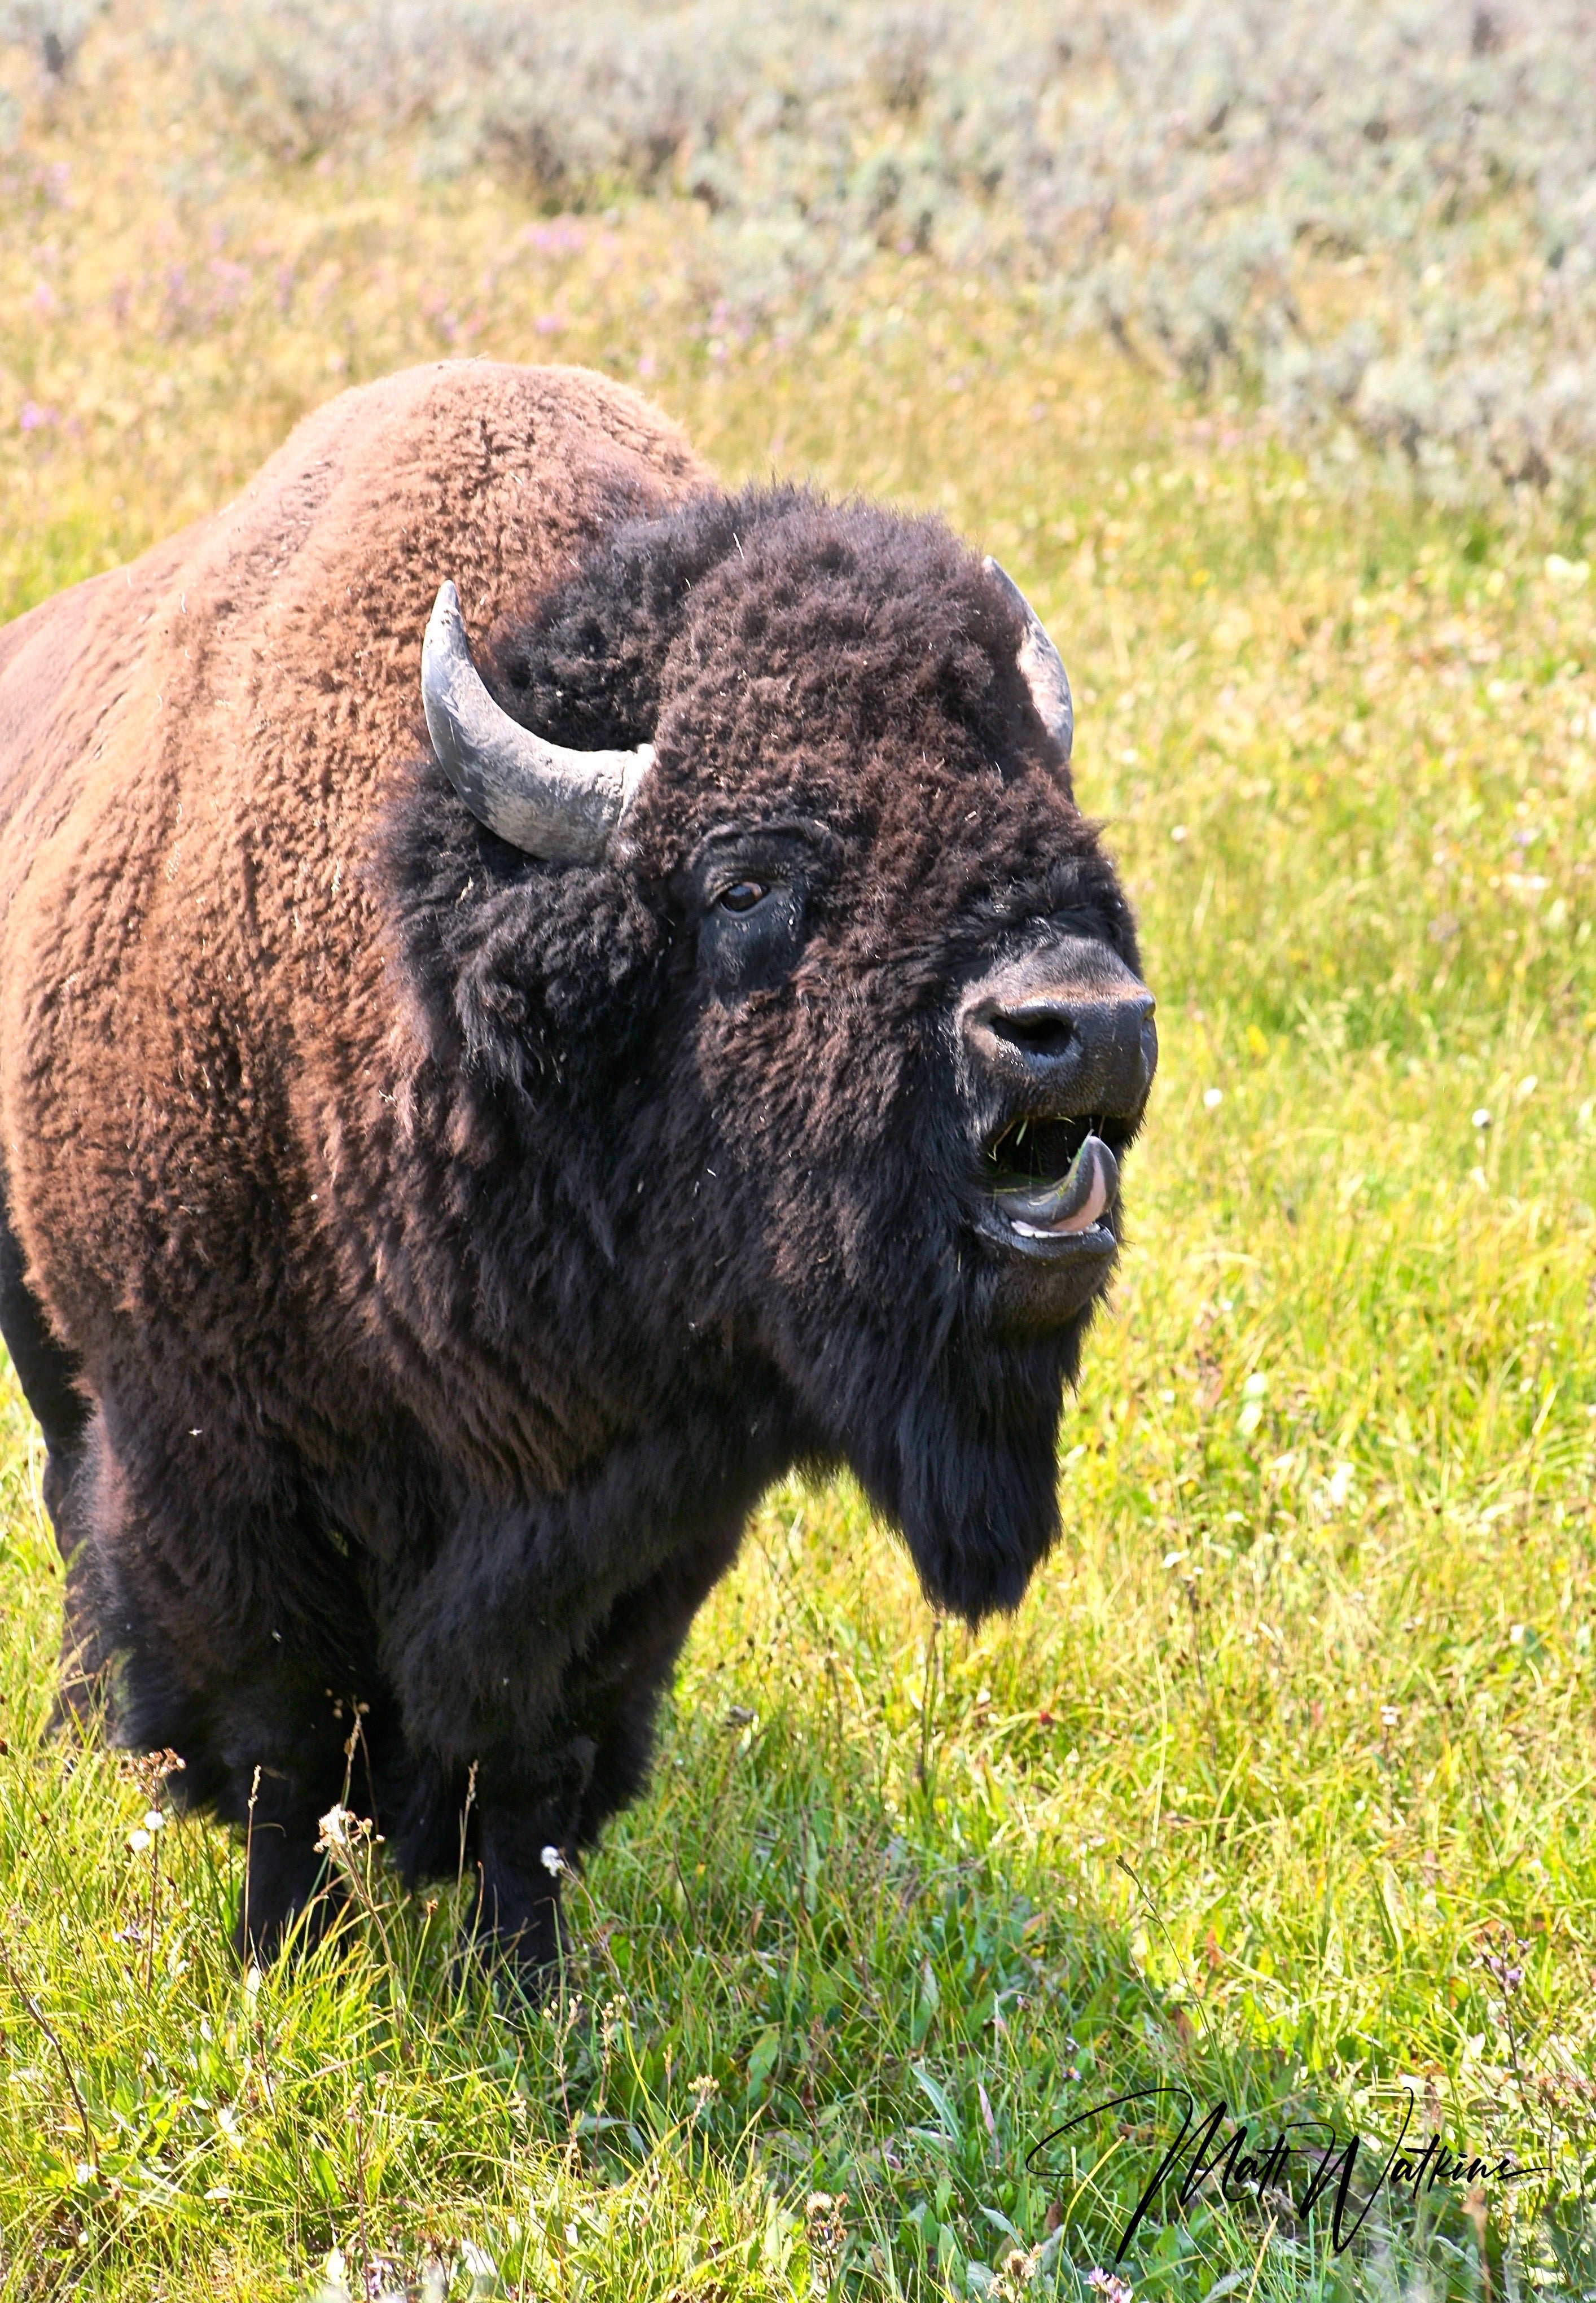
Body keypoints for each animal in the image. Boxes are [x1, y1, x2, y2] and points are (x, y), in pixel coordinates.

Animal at [0, 364, 1147, 1980]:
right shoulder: (212, 1465)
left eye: (1066, 843)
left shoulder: (641, 1528)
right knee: (65, 1508)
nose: (1081, 1024)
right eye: (746, 881)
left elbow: (530, 1768)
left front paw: (525, 1981)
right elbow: (279, 1737)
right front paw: (286, 1956)